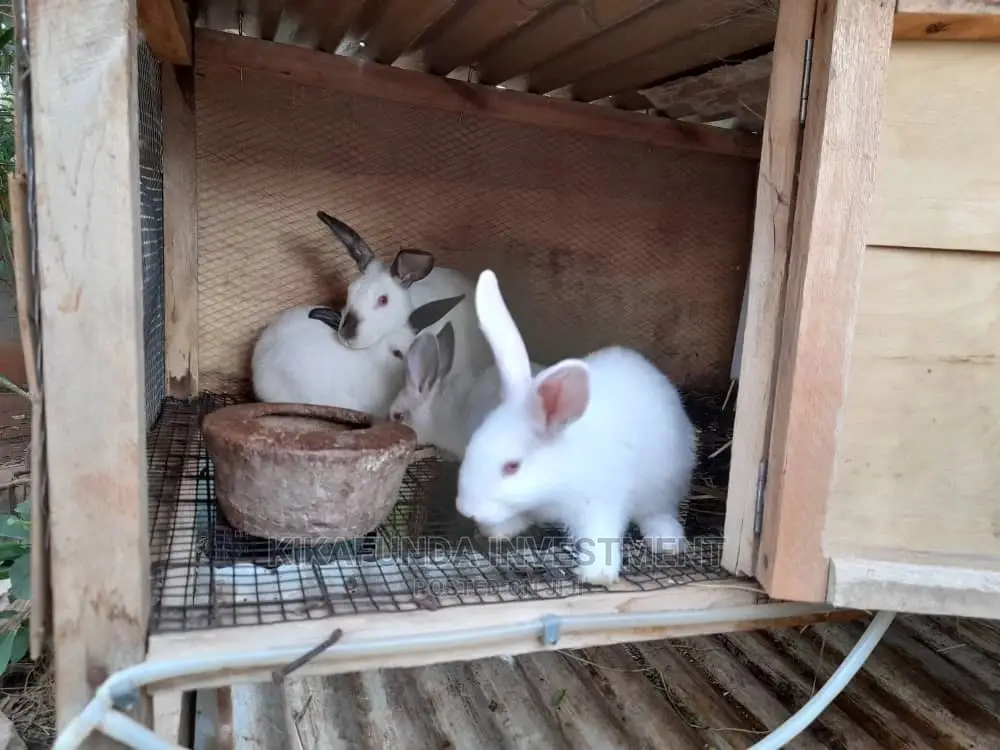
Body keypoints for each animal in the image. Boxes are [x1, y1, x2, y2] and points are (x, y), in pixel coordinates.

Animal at [453, 270, 698, 588]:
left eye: (511, 467)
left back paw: (666, 540)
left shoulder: (600, 502)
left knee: (658, 511)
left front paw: (597, 574)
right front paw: (498, 531)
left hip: (666, 481)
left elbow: (601, 535)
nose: (465, 509)